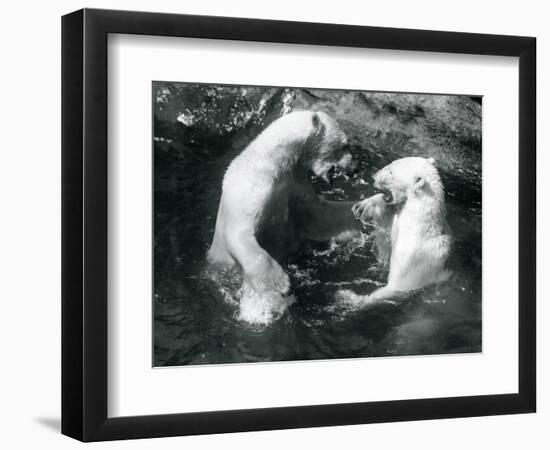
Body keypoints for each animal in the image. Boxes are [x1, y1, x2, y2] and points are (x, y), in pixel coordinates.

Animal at [209, 111, 360, 326]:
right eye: (345, 144)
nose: (356, 168)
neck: (273, 162)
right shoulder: (252, 188)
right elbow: (239, 234)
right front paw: (279, 283)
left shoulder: (294, 184)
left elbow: (319, 216)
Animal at [342, 156, 454, 306]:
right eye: (391, 163)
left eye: (391, 172)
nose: (374, 177)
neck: (418, 227)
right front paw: (364, 206)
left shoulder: (413, 262)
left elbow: (396, 287)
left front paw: (350, 297)